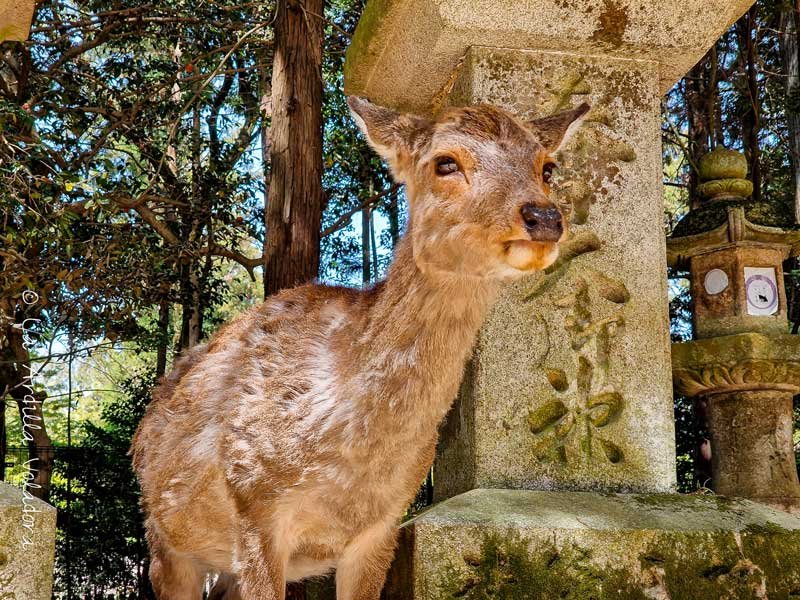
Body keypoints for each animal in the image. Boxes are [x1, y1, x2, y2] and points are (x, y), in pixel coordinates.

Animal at [131, 96, 592, 596]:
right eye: (445, 163)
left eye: (547, 167)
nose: (544, 218)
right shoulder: (254, 499)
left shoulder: (383, 526)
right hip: (163, 542)